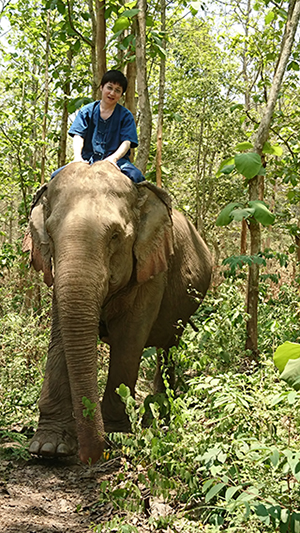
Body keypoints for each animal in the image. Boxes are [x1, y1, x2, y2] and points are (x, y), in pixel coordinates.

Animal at [22, 160, 211, 464]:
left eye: (115, 236)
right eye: (49, 234)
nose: (87, 456)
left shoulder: (153, 267)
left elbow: (129, 338)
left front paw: (115, 436)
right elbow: (60, 335)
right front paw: (49, 448)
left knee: (168, 347)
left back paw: (160, 414)